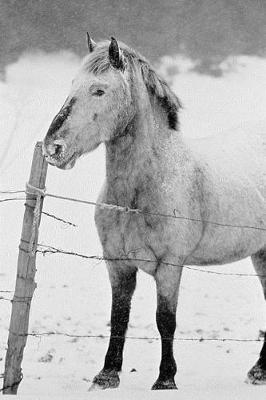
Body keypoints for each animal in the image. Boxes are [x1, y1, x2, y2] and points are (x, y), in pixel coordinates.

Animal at [42, 36, 266, 390]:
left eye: (99, 90)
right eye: (72, 84)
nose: (53, 148)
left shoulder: (170, 266)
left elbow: (166, 320)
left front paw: (165, 379)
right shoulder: (117, 264)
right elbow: (119, 317)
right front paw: (106, 376)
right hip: (261, 254)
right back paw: (259, 371)